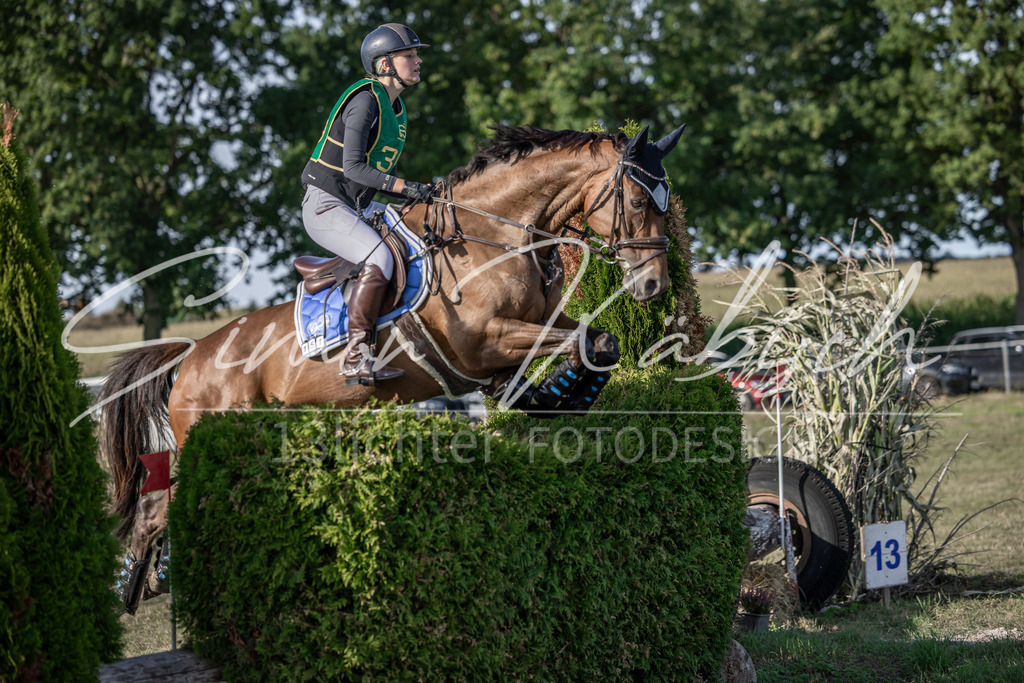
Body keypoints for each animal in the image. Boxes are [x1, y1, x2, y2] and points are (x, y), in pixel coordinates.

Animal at [100, 122, 686, 613]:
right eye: (639, 199)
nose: (653, 285)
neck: (498, 236)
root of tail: (194, 354)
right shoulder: (484, 340)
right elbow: (580, 344)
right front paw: (558, 392)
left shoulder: (534, 328)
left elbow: (599, 343)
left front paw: (557, 396)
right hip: (208, 436)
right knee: (159, 507)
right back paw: (135, 588)